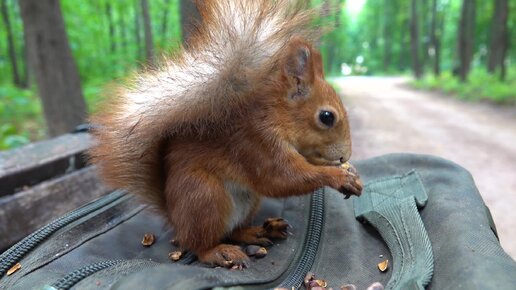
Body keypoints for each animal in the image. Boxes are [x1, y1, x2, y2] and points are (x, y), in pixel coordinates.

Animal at [88, 0, 362, 268]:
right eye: (326, 117)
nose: (345, 155)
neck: (277, 116)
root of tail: (175, 218)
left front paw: (349, 170)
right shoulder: (256, 144)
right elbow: (284, 178)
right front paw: (337, 176)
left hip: (246, 202)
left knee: (233, 230)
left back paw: (258, 231)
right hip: (205, 197)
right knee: (200, 244)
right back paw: (220, 252)